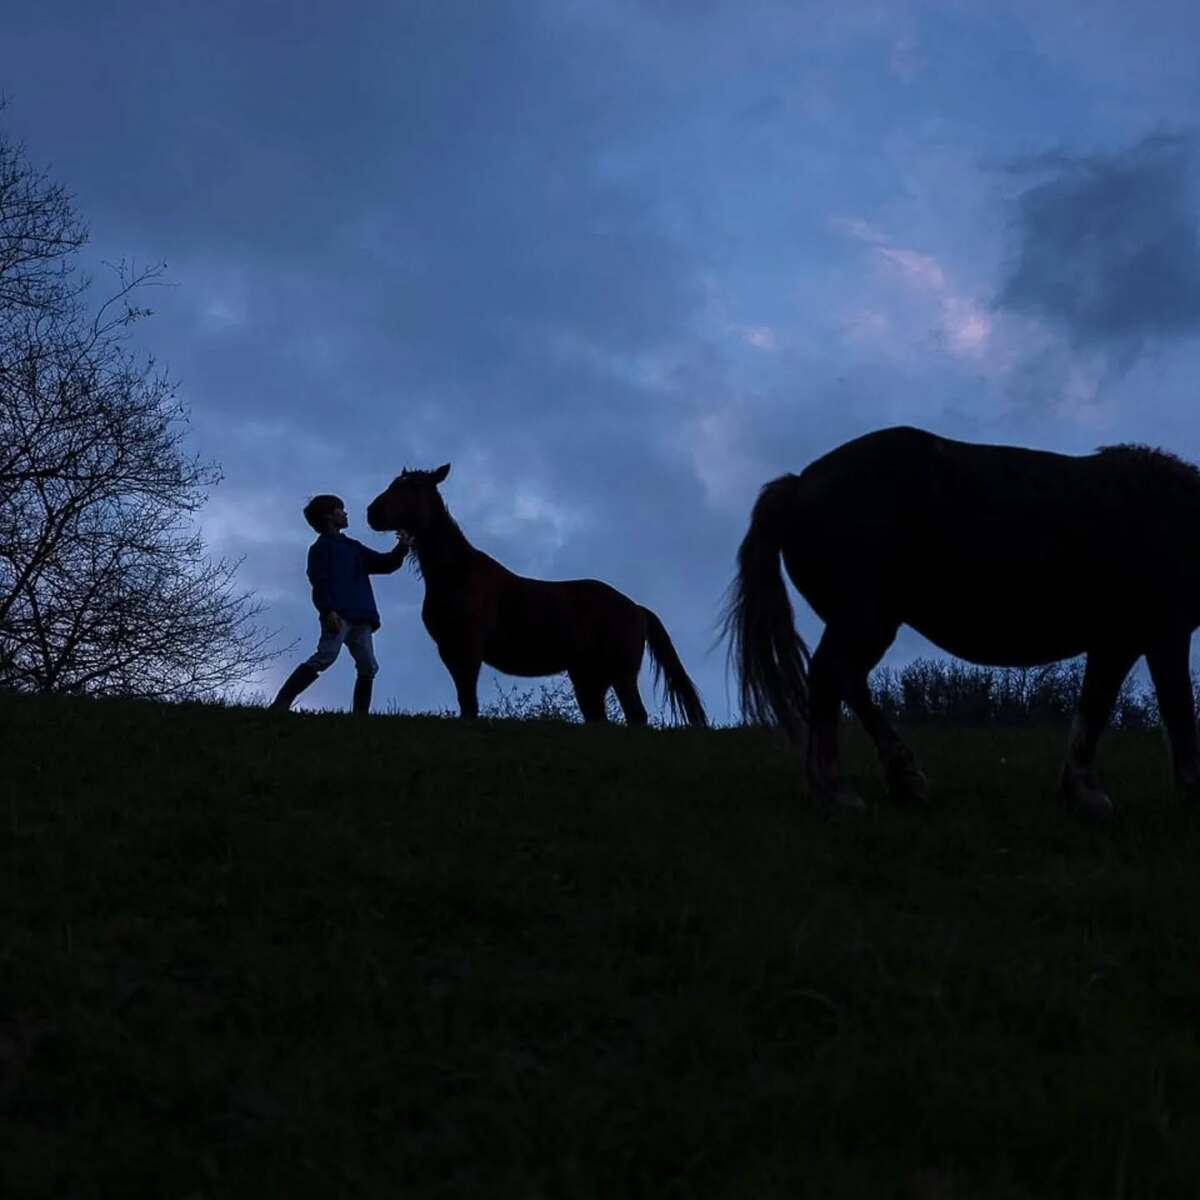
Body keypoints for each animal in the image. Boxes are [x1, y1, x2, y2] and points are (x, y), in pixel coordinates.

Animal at [366, 464, 708, 728]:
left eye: (414, 487)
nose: (372, 512)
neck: (458, 573)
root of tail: (635, 608)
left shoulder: (468, 648)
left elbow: (469, 701)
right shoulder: (449, 650)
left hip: (620, 673)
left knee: (636, 716)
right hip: (589, 676)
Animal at [724, 425, 1200, 822]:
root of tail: (797, 485)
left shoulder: (1125, 642)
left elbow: (1103, 709)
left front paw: (1080, 793)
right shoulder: (1149, 637)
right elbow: (1169, 712)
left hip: (863, 623)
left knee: (848, 683)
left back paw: (904, 779)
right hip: (863, 619)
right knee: (828, 679)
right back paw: (835, 792)